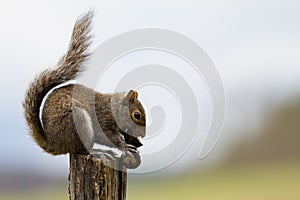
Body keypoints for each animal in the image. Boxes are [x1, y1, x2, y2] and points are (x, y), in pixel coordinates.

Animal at [22, 11, 146, 169]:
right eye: (136, 115)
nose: (143, 135)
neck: (113, 109)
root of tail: (56, 145)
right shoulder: (102, 120)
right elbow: (108, 137)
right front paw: (125, 146)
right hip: (78, 123)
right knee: (83, 150)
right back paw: (99, 152)